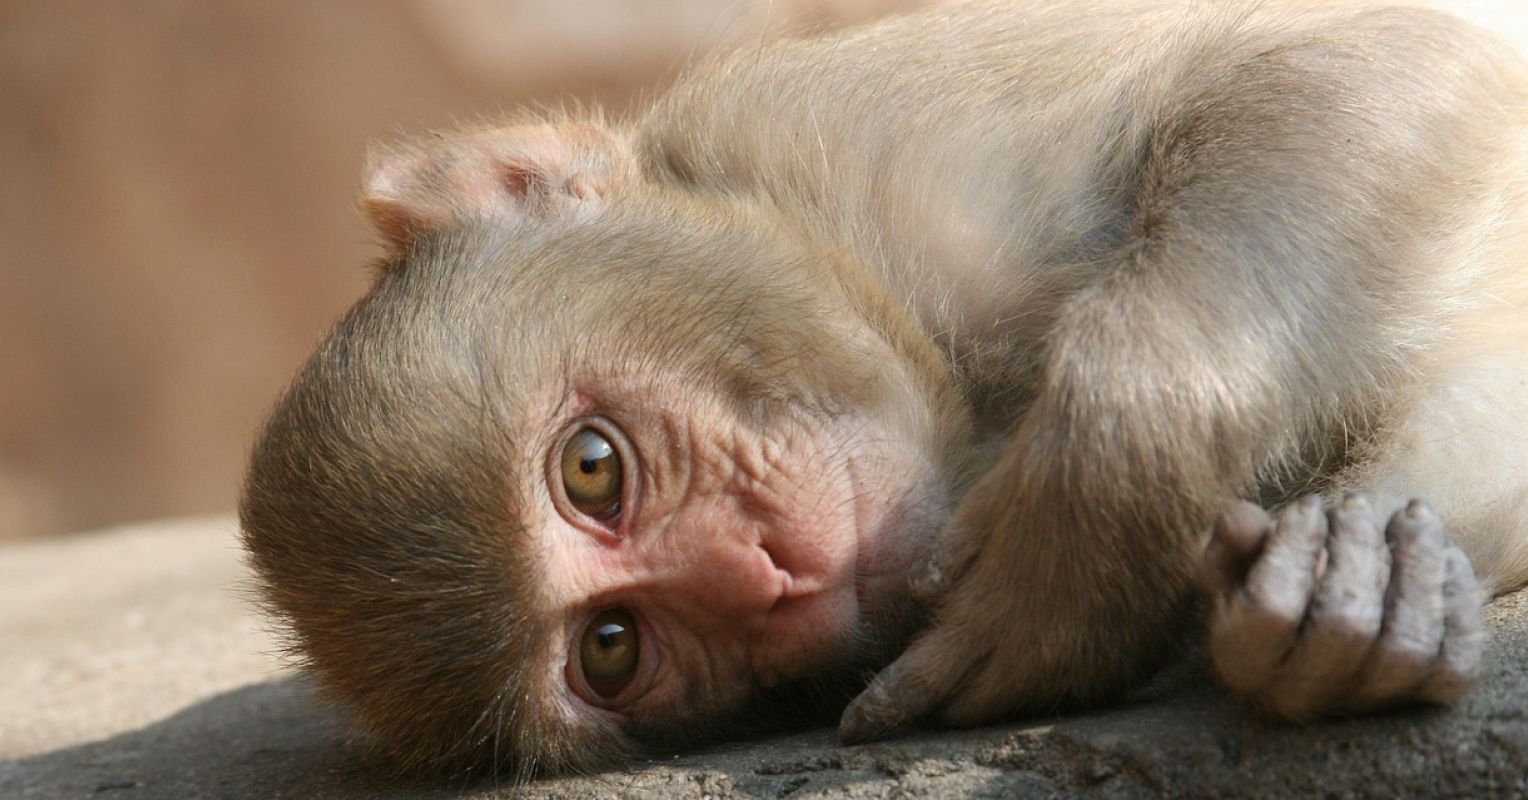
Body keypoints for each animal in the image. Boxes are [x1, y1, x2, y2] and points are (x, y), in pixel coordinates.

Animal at [239, 0, 1528, 780]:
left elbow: (1377, 59)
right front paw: (1363, 577)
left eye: (590, 466)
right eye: (611, 647)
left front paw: (1096, 512)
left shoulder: (867, 133)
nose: (765, 573)